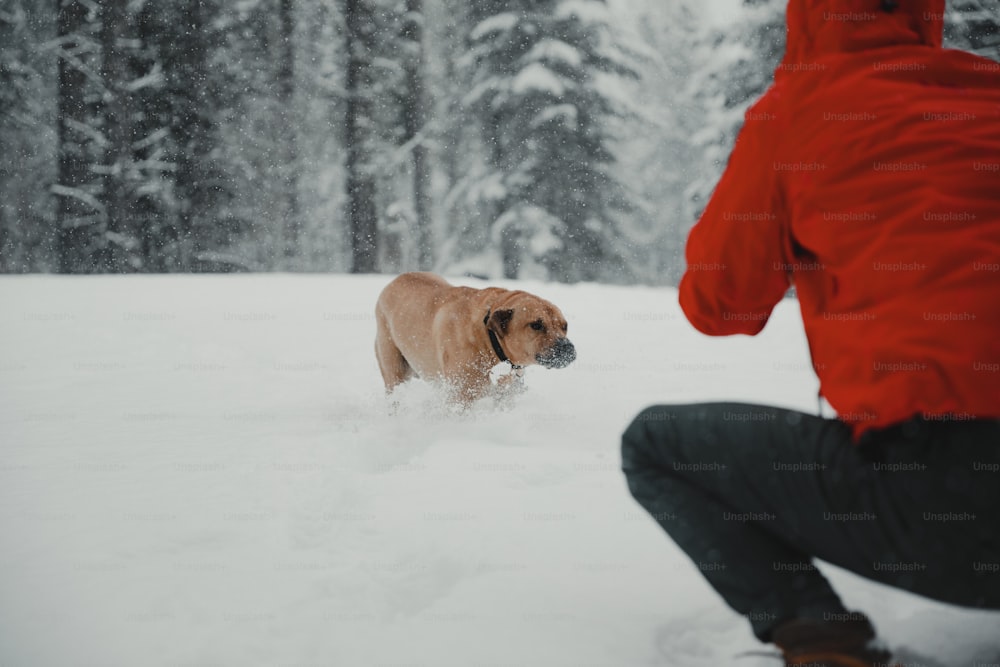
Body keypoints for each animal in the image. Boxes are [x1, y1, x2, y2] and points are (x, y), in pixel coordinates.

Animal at [376, 272, 580, 402]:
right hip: (393, 369)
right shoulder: (461, 395)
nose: (568, 348)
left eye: (565, 326)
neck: (489, 340)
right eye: (536, 325)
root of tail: (394, 281)